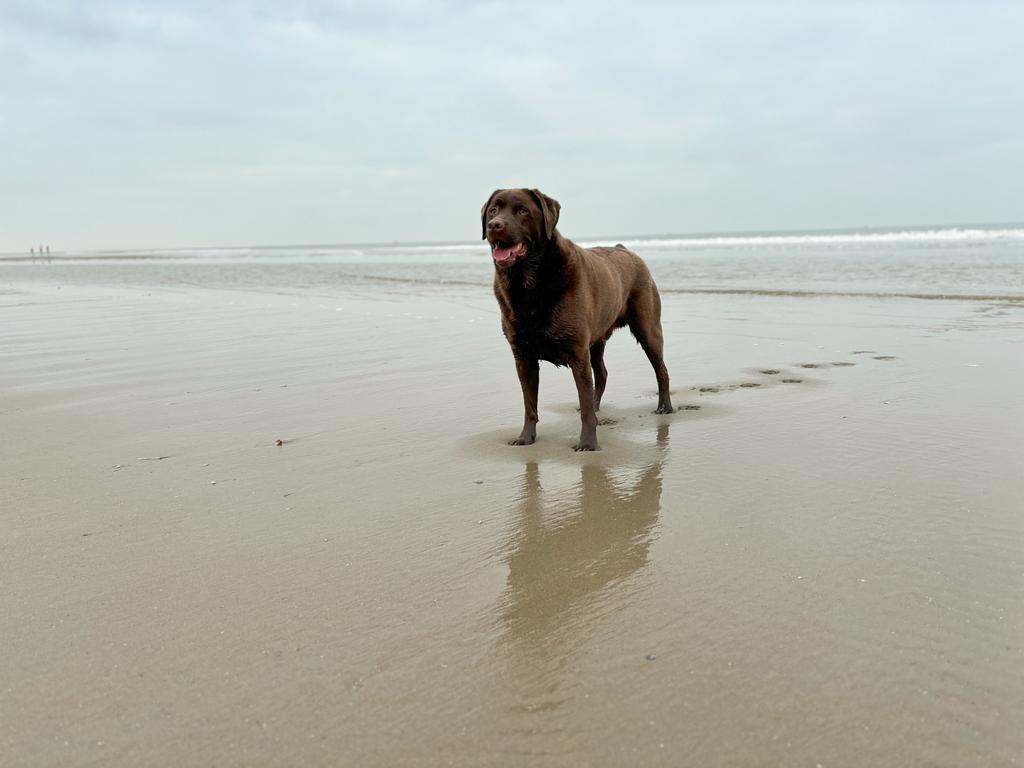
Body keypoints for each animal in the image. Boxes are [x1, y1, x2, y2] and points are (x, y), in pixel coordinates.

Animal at [482, 188, 674, 451]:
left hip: (648, 329)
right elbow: (530, 405)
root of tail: (625, 249)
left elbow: (584, 408)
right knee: (602, 375)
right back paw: (597, 405)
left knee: (661, 370)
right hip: (597, 341)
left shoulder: (577, 355)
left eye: (522, 211)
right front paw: (526, 438)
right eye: (493, 210)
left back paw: (665, 406)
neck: (529, 283)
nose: (494, 225)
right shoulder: (523, 358)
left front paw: (588, 443)